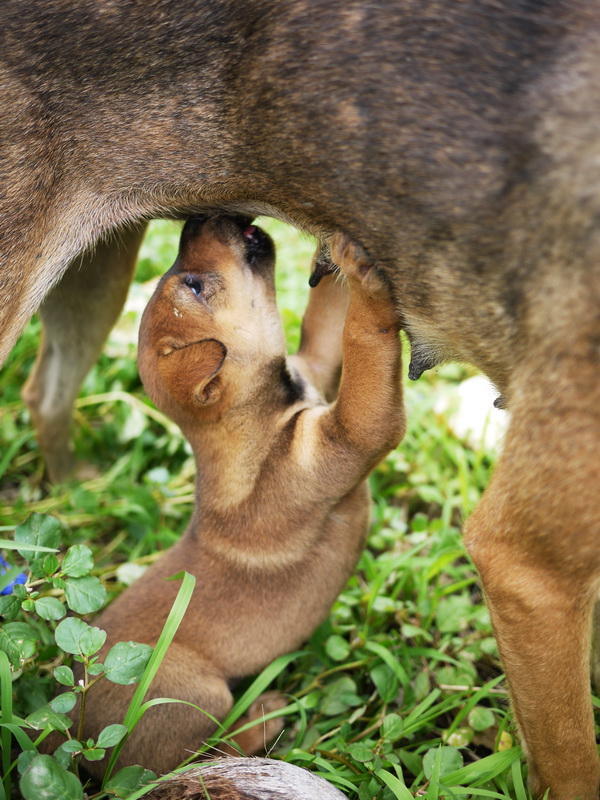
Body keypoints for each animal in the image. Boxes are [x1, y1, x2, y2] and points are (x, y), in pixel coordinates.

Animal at [78, 217, 404, 776]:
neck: (259, 414)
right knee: (199, 756)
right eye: (193, 287)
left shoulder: (316, 362)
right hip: (197, 693)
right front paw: (365, 277)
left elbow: (327, 319)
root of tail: (69, 736)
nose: (195, 219)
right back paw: (264, 719)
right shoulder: (353, 433)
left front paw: (337, 251)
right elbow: (366, 341)